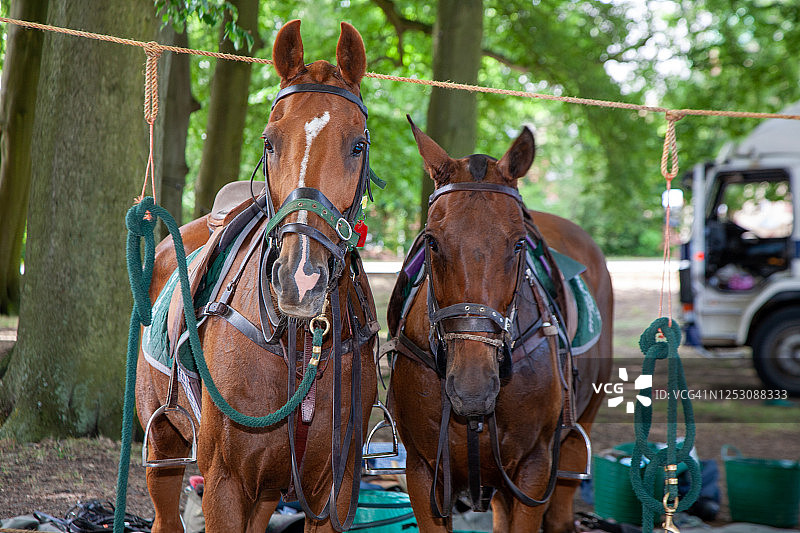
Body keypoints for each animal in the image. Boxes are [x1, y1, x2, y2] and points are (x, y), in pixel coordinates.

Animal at [136, 20, 379, 533]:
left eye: (358, 145)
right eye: (269, 142)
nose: (300, 279)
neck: (302, 343)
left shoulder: (334, 489)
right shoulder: (224, 483)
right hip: (163, 444)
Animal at [385, 118, 613, 532]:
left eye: (519, 244)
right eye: (432, 242)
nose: (472, 388)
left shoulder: (534, 470)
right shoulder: (423, 472)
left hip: (575, 439)